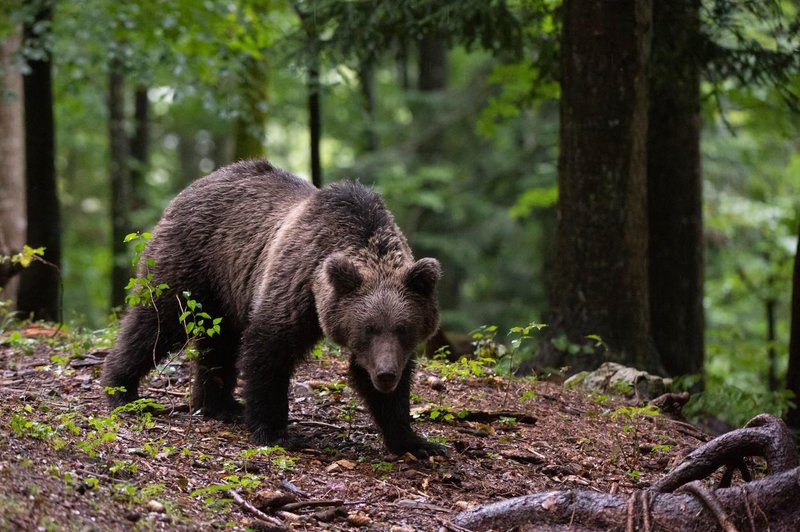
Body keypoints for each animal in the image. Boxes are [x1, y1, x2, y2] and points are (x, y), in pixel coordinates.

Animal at [101, 159, 444, 458]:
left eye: (403, 328)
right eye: (368, 328)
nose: (386, 374)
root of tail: (195, 184)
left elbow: (384, 388)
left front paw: (416, 442)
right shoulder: (298, 282)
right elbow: (270, 350)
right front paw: (274, 431)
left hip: (224, 293)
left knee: (219, 343)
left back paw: (221, 405)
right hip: (192, 262)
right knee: (157, 322)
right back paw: (121, 388)